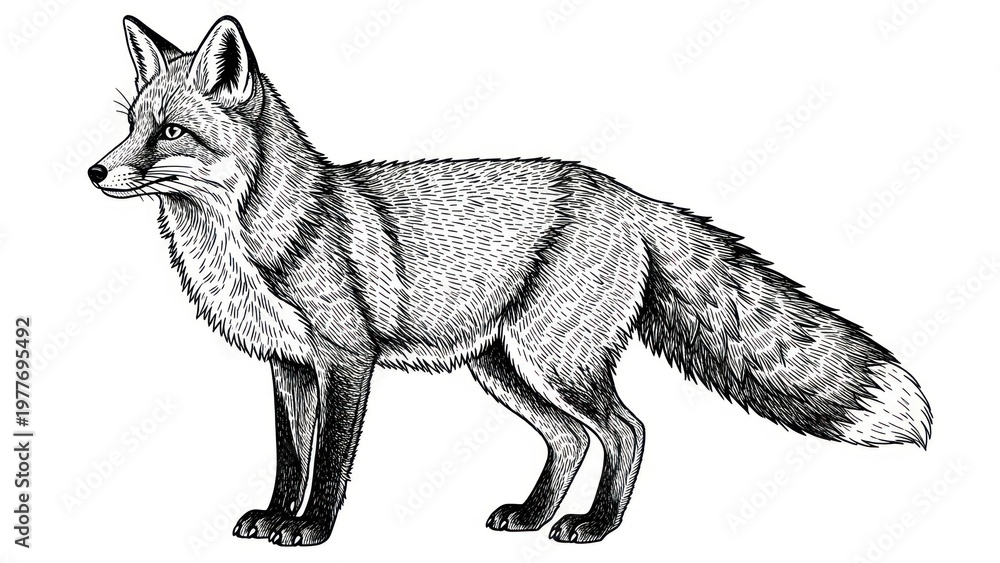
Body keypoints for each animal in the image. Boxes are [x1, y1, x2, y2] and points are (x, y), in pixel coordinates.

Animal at [89, 16, 931, 547]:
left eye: (170, 132)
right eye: (130, 124)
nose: (95, 171)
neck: (241, 238)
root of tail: (630, 193)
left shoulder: (346, 360)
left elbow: (328, 462)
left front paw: (311, 529)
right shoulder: (288, 366)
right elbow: (288, 456)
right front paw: (273, 515)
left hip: (555, 359)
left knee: (627, 429)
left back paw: (596, 527)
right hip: (504, 367)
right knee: (571, 437)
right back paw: (531, 516)